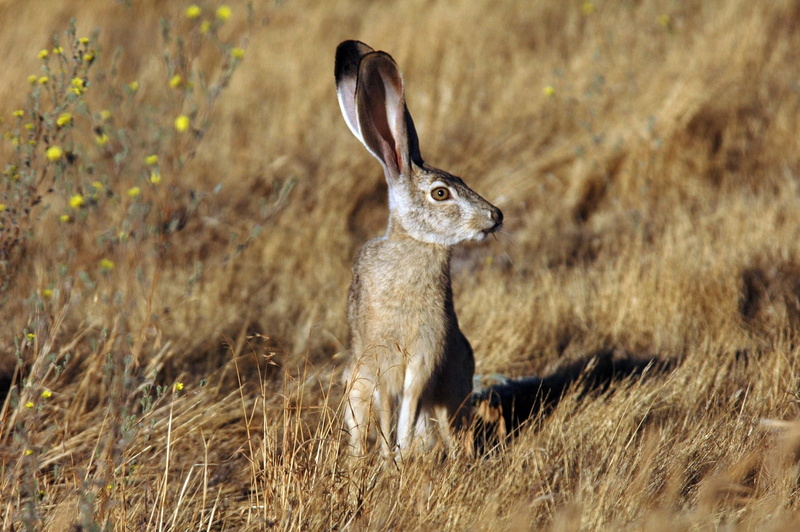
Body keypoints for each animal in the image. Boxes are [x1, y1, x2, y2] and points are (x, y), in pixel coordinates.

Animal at [335, 40, 503, 456]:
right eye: (441, 193)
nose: (495, 216)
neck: (414, 242)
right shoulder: (380, 357)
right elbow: (387, 407)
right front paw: (388, 458)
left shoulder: (427, 354)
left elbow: (409, 403)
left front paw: (401, 451)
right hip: (356, 383)